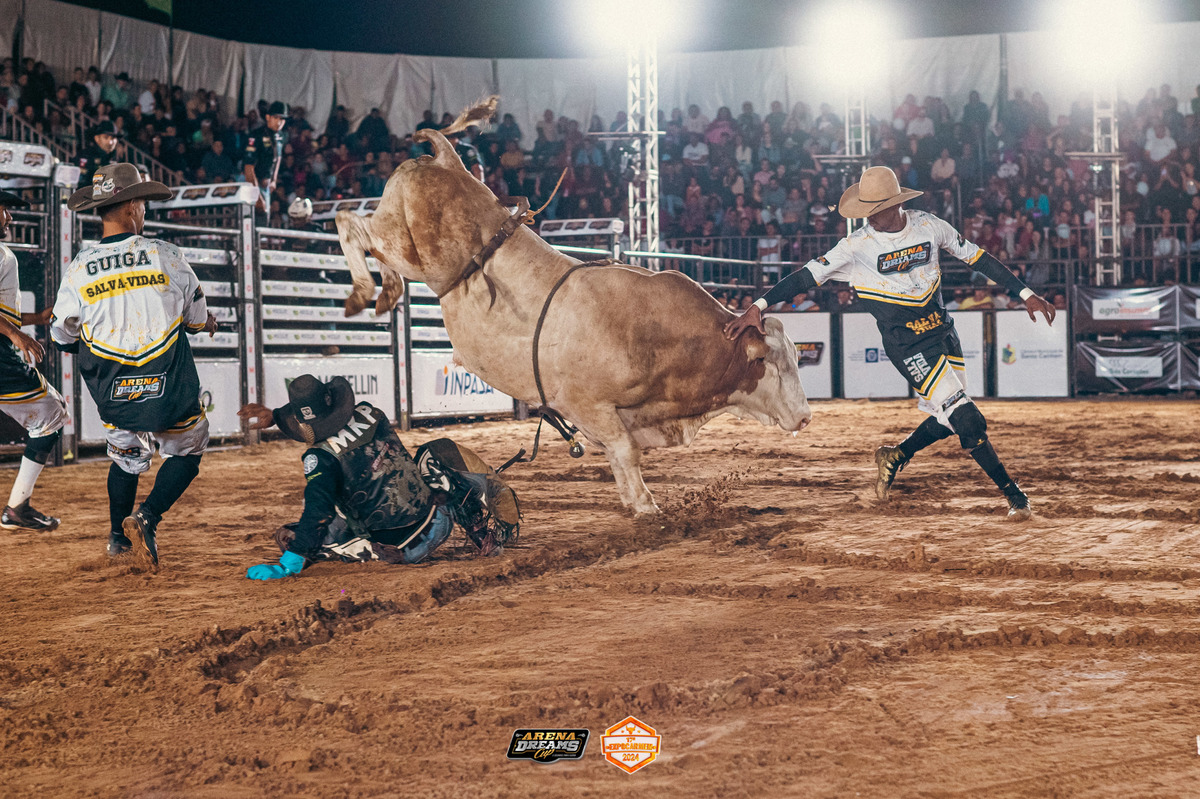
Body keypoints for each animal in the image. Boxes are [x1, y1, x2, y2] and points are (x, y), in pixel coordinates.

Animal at [335, 99, 811, 514]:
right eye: (773, 363)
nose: (806, 417)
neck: (658, 335)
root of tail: (447, 162)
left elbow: (622, 454)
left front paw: (634, 501)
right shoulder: (586, 404)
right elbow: (626, 450)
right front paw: (645, 504)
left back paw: (386, 291)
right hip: (404, 244)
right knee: (350, 224)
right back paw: (363, 291)